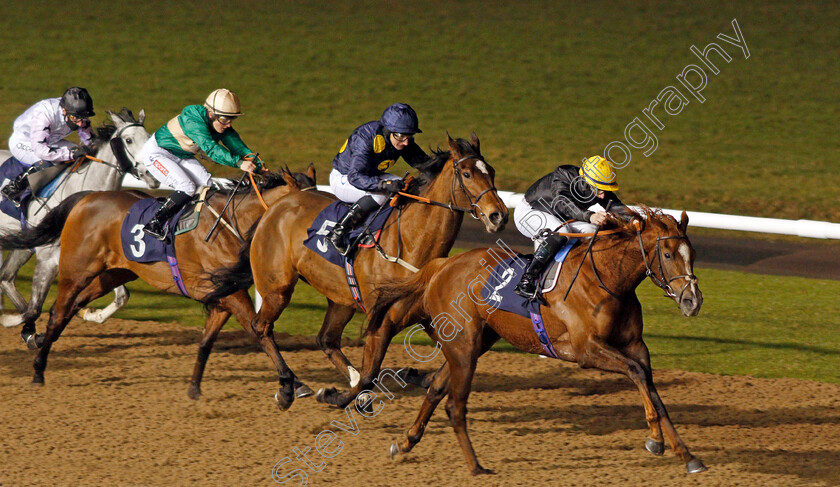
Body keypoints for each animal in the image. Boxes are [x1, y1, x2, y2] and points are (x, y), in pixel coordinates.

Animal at [0, 108, 159, 336]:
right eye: (128, 140)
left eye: (148, 138)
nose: (152, 176)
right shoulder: (48, 257)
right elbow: (34, 309)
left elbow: (122, 296)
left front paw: (90, 314)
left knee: (6, 278)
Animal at [0, 166, 318, 398]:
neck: (230, 223)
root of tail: (87, 197)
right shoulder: (228, 293)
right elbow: (259, 330)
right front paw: (293, 384)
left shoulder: (222, 296)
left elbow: (206, 341)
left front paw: (194, 388)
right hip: (76, 270)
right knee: (58, 312)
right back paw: (37, 368)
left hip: (113, 273)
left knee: (71, 308)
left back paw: (40, 340)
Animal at [207, 132, 508, 408]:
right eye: (467, 173)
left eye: (492, 171)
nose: (499, 216)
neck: (411, 240)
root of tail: (275, 207)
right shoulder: (381, 318)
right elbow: (371, 371)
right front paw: (338, 394)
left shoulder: (425, 312)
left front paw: (412, 375)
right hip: (277, 287)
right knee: (261, 327)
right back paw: (288, 387)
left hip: (341, 298)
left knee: (326, 339)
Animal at [368, 208, 708, 474]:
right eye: (667, 254)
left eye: (692, 254)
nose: (692, 301)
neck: (608, 280)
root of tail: (444, 265)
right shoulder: (586, 350)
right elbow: (636, 374)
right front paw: (655, 440)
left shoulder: (636, 346)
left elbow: (652, 390)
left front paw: (687, 455)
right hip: (464, 344)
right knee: (454, 402)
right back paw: (475, 466)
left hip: (477, 342)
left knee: (438, 387)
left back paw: (405, 442)